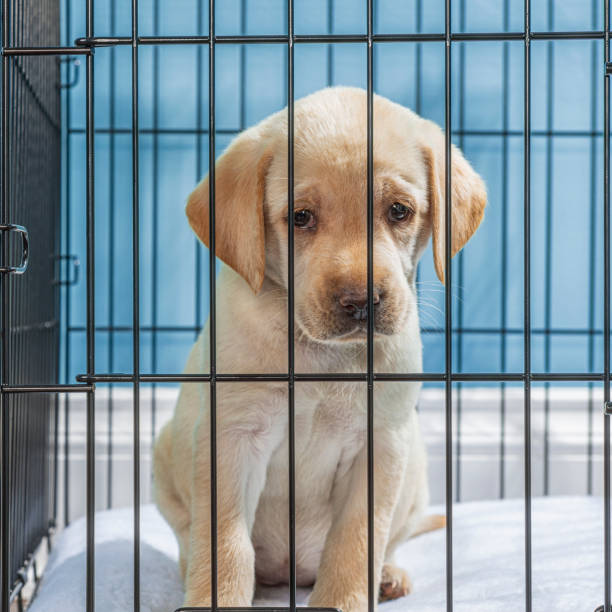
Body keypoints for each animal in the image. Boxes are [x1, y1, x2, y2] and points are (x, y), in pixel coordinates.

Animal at [154, 87, 488, 612]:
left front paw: (345, 597)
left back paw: (388, 575)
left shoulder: (380, 444)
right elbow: (225, 545)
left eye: (399, 211)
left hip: (413, 468)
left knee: (389, 541)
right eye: (300, 217)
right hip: (165, 456)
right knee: (193, 543)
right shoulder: (231, 438)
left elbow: (355, 543)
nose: (360, 302)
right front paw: (215, 597)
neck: (320, 359)